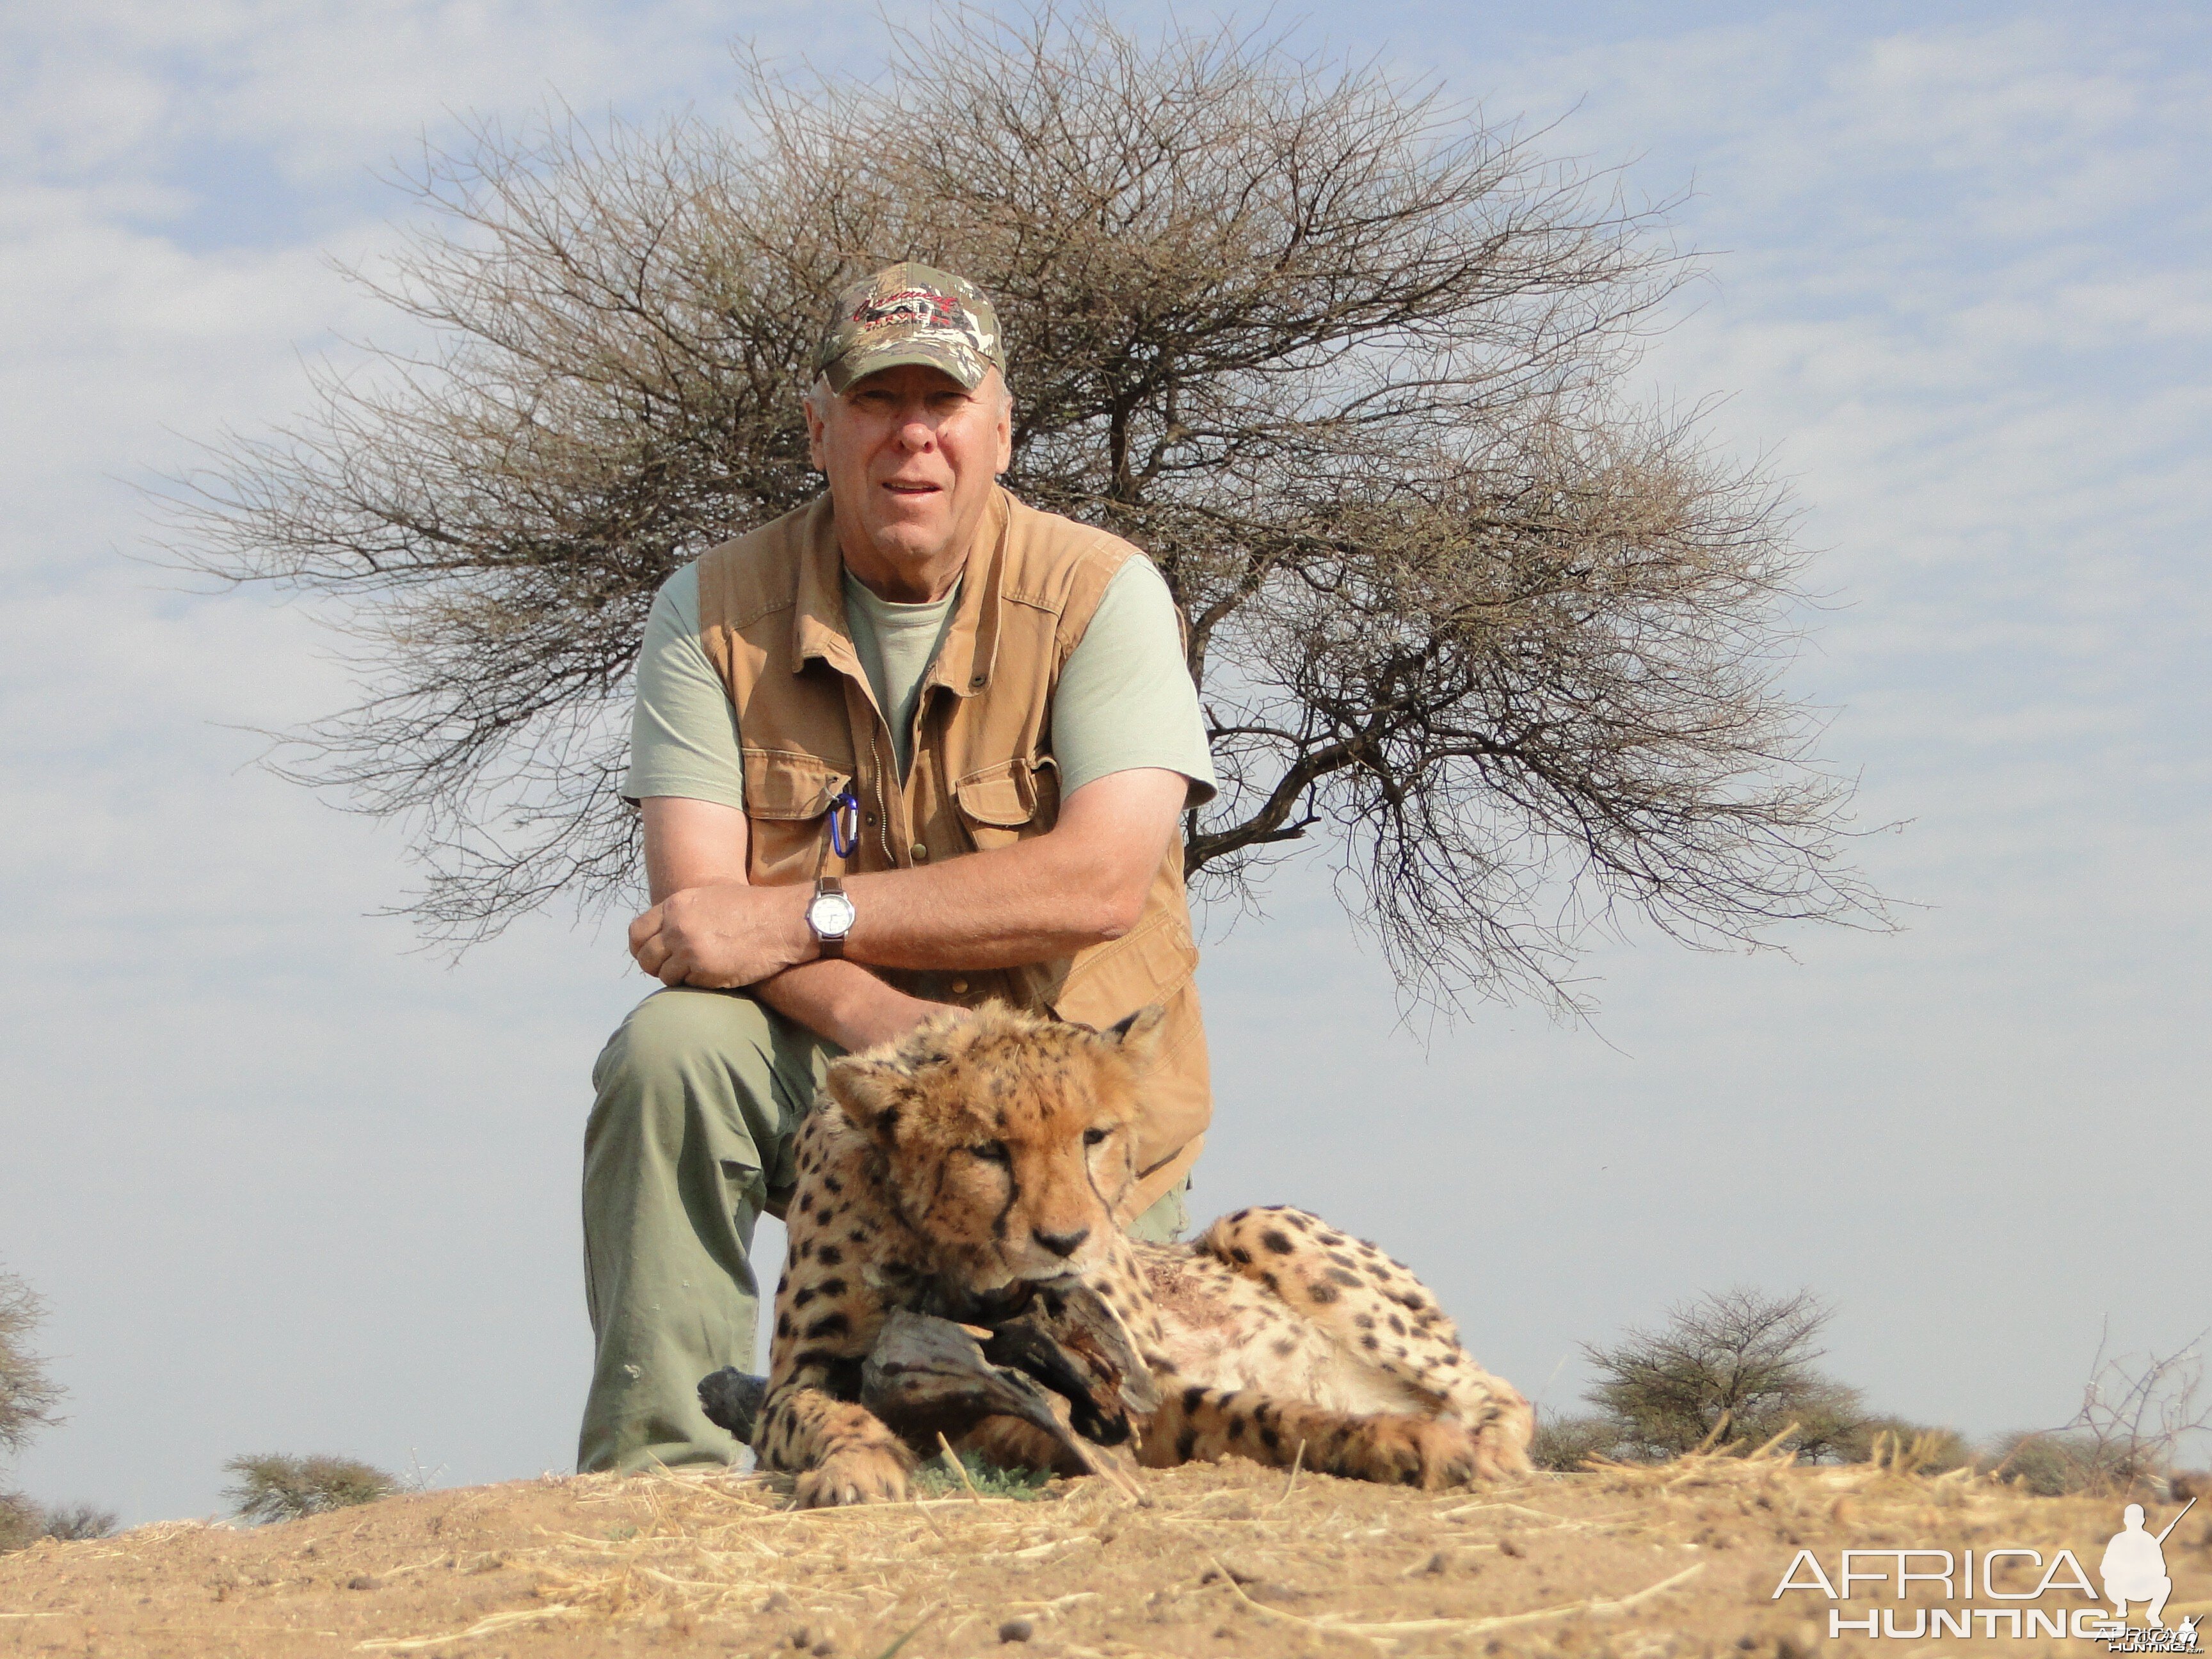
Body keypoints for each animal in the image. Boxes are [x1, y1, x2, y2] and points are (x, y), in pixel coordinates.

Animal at [752, 1000, 1530, 1504]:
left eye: (1093, 1137)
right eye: (986, 1151)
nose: (1067, 1240)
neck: (957, 1256)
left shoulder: (1134, 1378)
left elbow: (1258, 1412)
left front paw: (1410, 1442)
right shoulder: (798, 1380)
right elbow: (824, 1412)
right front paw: (860, 1464)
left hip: (1255, 1226)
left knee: (1495, 1390)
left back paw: (1491, 1445)